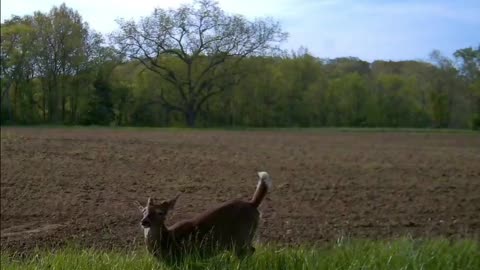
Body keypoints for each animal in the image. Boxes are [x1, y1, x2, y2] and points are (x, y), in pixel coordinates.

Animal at [135, 171, 272, 262]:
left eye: (160, 212)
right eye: (144, 211)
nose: (144, 221)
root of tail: (252, 204)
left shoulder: (185, 257)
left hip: (243, 235)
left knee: (249, 251)